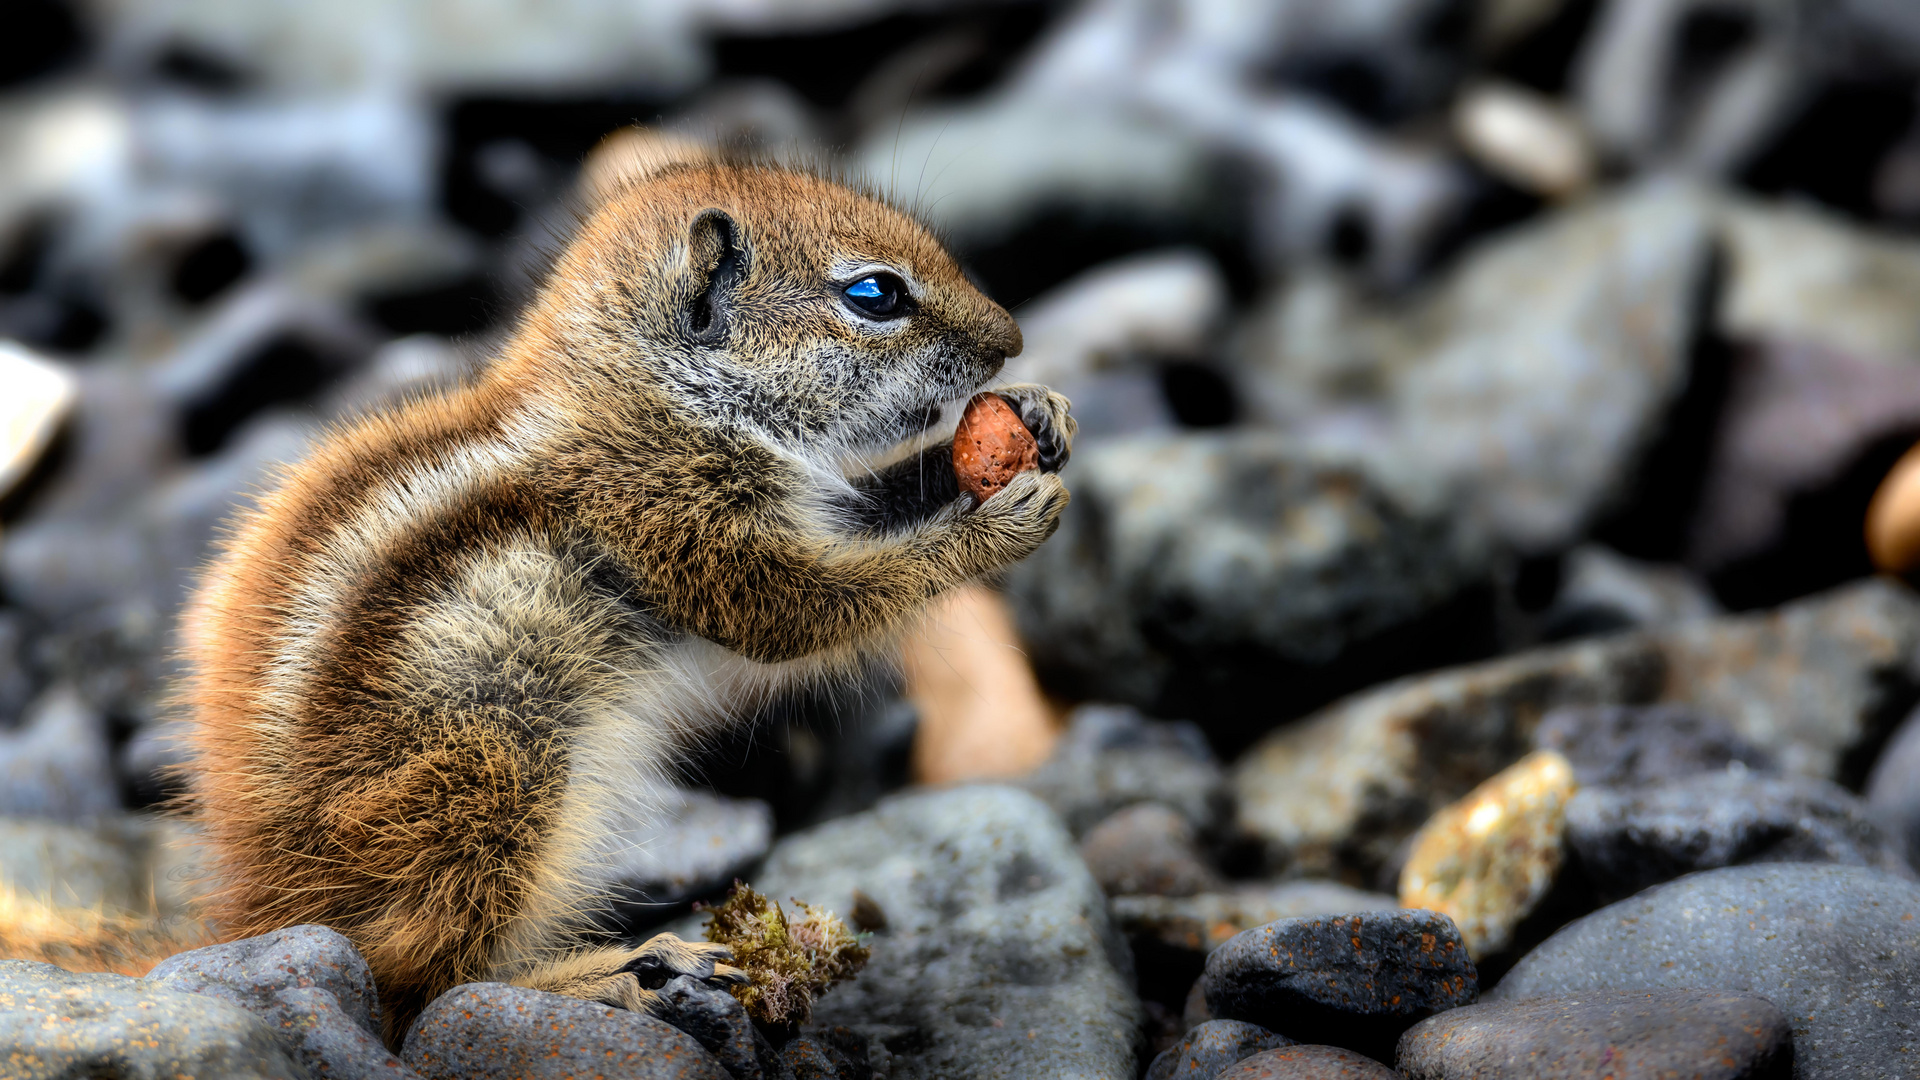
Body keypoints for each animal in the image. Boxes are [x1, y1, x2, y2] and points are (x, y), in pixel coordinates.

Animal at [176, 143, 1082, 1045]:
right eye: (875, 294)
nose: (1013, 340)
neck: (650, 396)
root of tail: (267, 894)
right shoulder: (679, 518)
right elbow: (801, 610)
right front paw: (994, 527)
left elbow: (878, 506)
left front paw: (1038, 414)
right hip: (491, 772)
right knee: (419, 981)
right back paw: (616, 976)